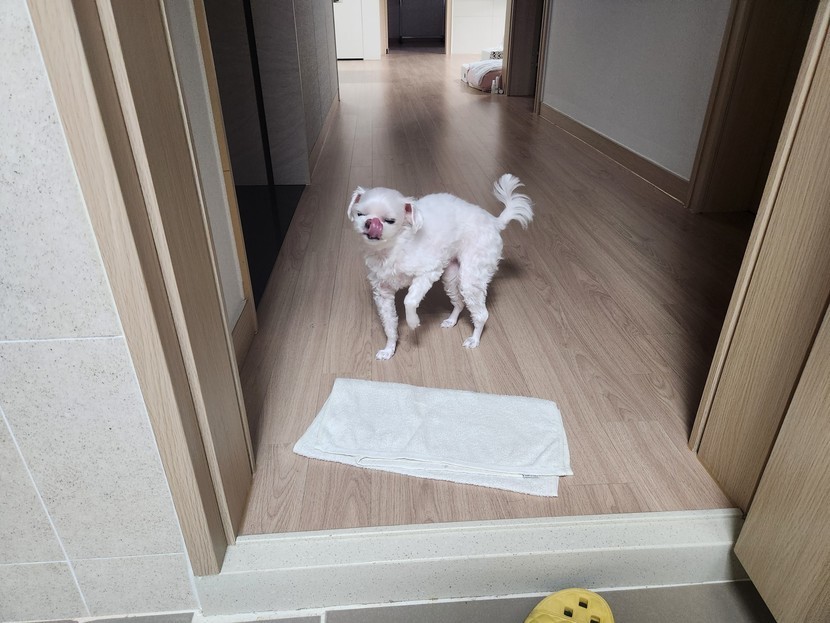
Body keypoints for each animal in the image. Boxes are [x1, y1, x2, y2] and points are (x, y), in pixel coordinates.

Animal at [347, 174, 533, 360]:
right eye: (360, 213)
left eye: (390, 221)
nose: (370, 223)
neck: (391, 249)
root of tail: (495, 222)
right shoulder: (383, 293)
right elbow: (389, 325)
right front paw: (389, 349)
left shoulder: (428, 272)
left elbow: (409, 300)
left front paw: (413, 321)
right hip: (451, 276)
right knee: (459, 303)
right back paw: (451, 320)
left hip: (471, 277)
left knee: (481, 314)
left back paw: (474, 339)